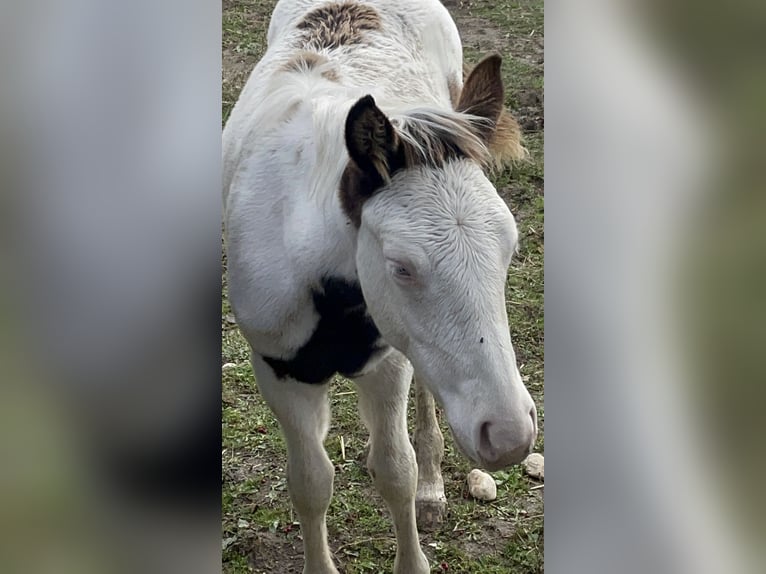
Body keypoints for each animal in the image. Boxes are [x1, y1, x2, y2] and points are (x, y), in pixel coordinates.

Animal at [223, 1, 538, 572]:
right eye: (401, 267)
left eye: (509, 246)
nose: (509, 436)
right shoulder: (277, 371)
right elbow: (310, 483)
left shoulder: (387, 361)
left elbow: (396, 471)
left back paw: (433, 488)